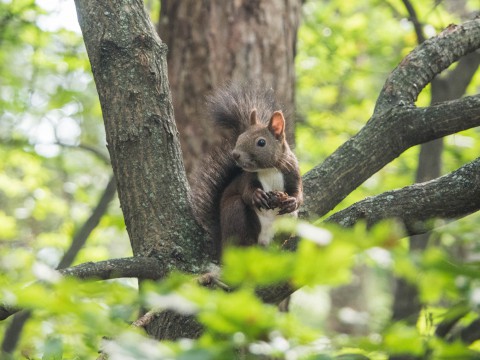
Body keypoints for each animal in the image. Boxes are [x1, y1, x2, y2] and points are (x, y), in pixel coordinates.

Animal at [190, 84, 300, 258]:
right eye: (240, 137)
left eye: (261, 142)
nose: (235, 154)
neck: (269, 169)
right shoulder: (247, 179)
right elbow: (247, 192)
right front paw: (257, 196)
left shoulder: (293, 172)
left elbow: (299, 193)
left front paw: (292, 201)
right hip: (235, 211)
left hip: (287, 221)